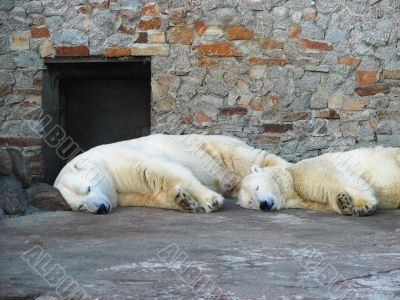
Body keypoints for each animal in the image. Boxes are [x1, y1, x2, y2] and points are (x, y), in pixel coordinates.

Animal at [54, 134, 286, 213]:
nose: (101, 208)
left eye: (88, 187)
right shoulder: (121, 192)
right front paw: (183, 200)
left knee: (250, 158)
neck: (104, 165)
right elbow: (146, 196)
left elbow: (162, 171)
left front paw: (210, 201)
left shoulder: (122, 160)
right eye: (80, 207)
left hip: (216, 149)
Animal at [239, 147, 398, 216]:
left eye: (257, 187)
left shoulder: (308, 170)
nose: (263, 205)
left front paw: (362, 206)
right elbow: (328, 200)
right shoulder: (308, 202)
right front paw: (343, 203)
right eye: (251, 202)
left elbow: (338, 180)